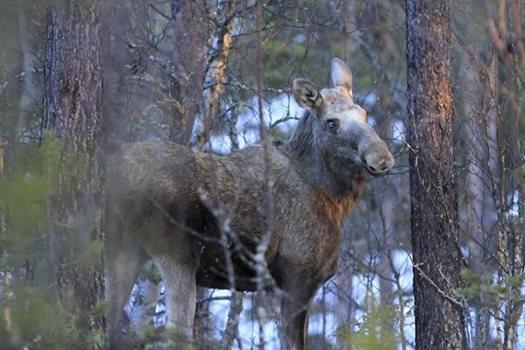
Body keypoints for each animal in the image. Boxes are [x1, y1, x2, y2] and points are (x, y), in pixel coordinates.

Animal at [104, 58, 392, 348]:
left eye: (365, 114)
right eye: (332, 123)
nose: (382, 158)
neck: (336, 199)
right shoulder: (297, 274)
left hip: (121, 248)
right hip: (177, 253)